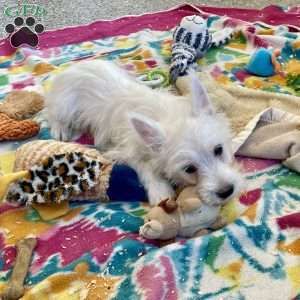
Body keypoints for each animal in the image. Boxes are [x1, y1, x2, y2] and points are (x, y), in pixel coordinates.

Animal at [46, 61, 244, 206]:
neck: (168, 115)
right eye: (189, 169)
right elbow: (145, 166)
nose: (226, 191)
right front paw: (160, 191)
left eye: (218, 150)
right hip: (65, 104)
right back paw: (60, 129)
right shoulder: (124, 152)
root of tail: (74, 65)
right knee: (54, 113)